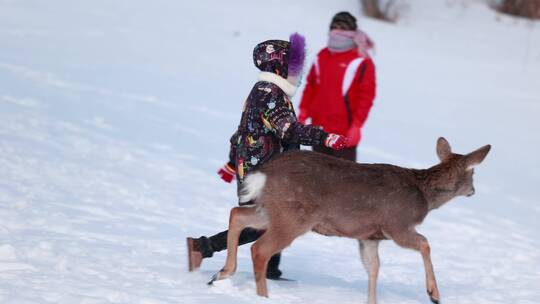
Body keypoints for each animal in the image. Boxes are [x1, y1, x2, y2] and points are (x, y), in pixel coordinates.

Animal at [209, 138, 492, 304]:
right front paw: (434, 294)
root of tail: (264, 173)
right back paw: (262, 296)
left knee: (237, 214)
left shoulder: (369, 236)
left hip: (272, 210)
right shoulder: (397, 224)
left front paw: (371, 302)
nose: (474, 191)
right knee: (260, 249)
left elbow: (373, 267)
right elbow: (425, 243)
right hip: (293, 217)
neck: (423, 194)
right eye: (473, 174)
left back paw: (222, 273)